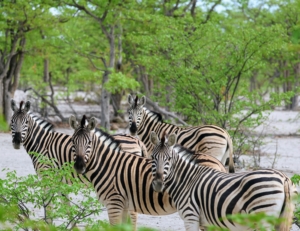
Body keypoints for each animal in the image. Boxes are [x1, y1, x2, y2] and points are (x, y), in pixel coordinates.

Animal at [150, 132, 298, 231]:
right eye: (152, 158)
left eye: (169, 158)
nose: (158, 184)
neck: (187, 180)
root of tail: (283, 178)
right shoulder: (206, 223)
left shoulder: (190, 216)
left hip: (263, 217)